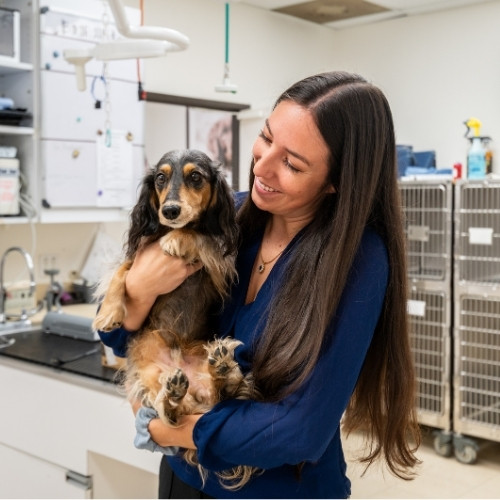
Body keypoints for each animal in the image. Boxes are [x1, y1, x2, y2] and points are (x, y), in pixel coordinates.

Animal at [93, 148, 258, 488]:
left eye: (195, 177)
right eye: (160, 177)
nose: (169, 210)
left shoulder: (219, 257)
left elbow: (196, 233)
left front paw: (179, 238)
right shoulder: (140, 255)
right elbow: (123, 271)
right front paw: (110, 313)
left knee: (218, 396)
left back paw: (222, 370)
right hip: (150, 371)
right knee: (172, 412)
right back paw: (176, 394)